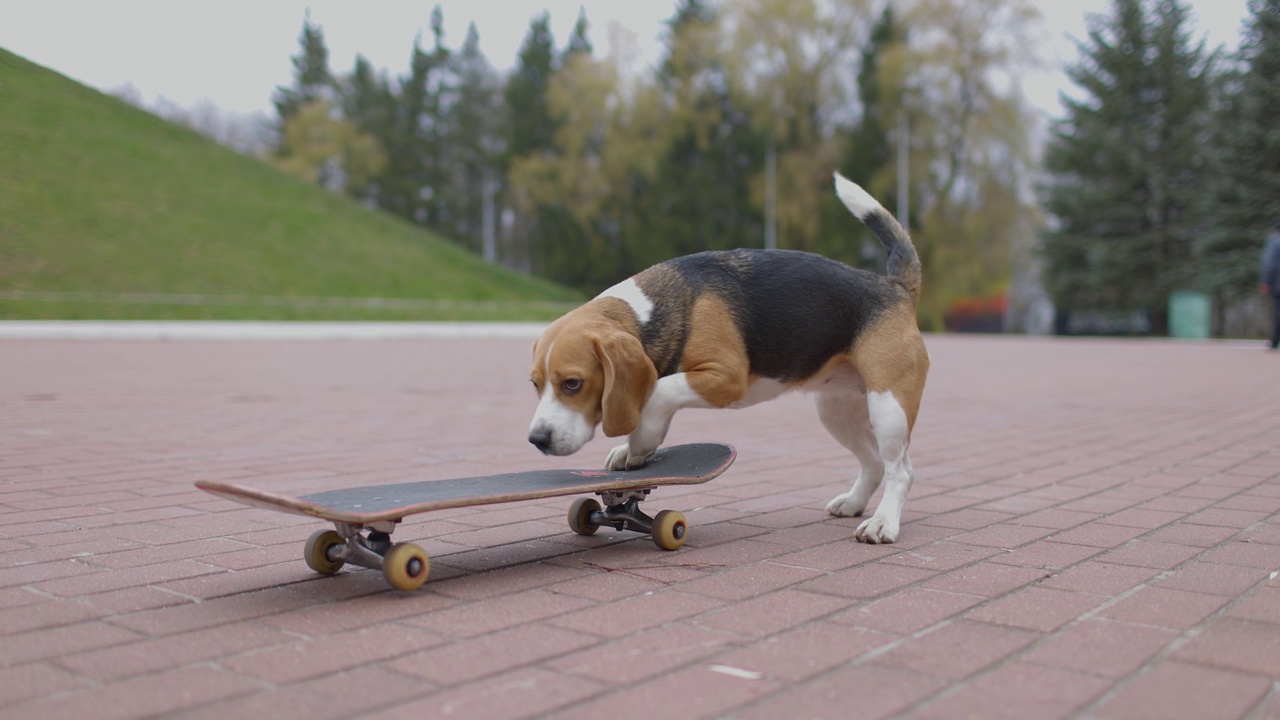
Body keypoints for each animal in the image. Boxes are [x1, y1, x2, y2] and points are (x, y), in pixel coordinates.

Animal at [524, 174, 926, 540]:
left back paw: (882, 523)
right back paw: (854, 503)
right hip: (837, 412)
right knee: (874, 463)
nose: (537, 439)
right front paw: (631, 451)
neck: (658, 309)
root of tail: (895, 287)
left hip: (888, 408)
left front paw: (641, 441)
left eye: (573, 384)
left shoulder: (726, 376)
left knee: (901, 470)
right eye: (535, 385)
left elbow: (659, 390)